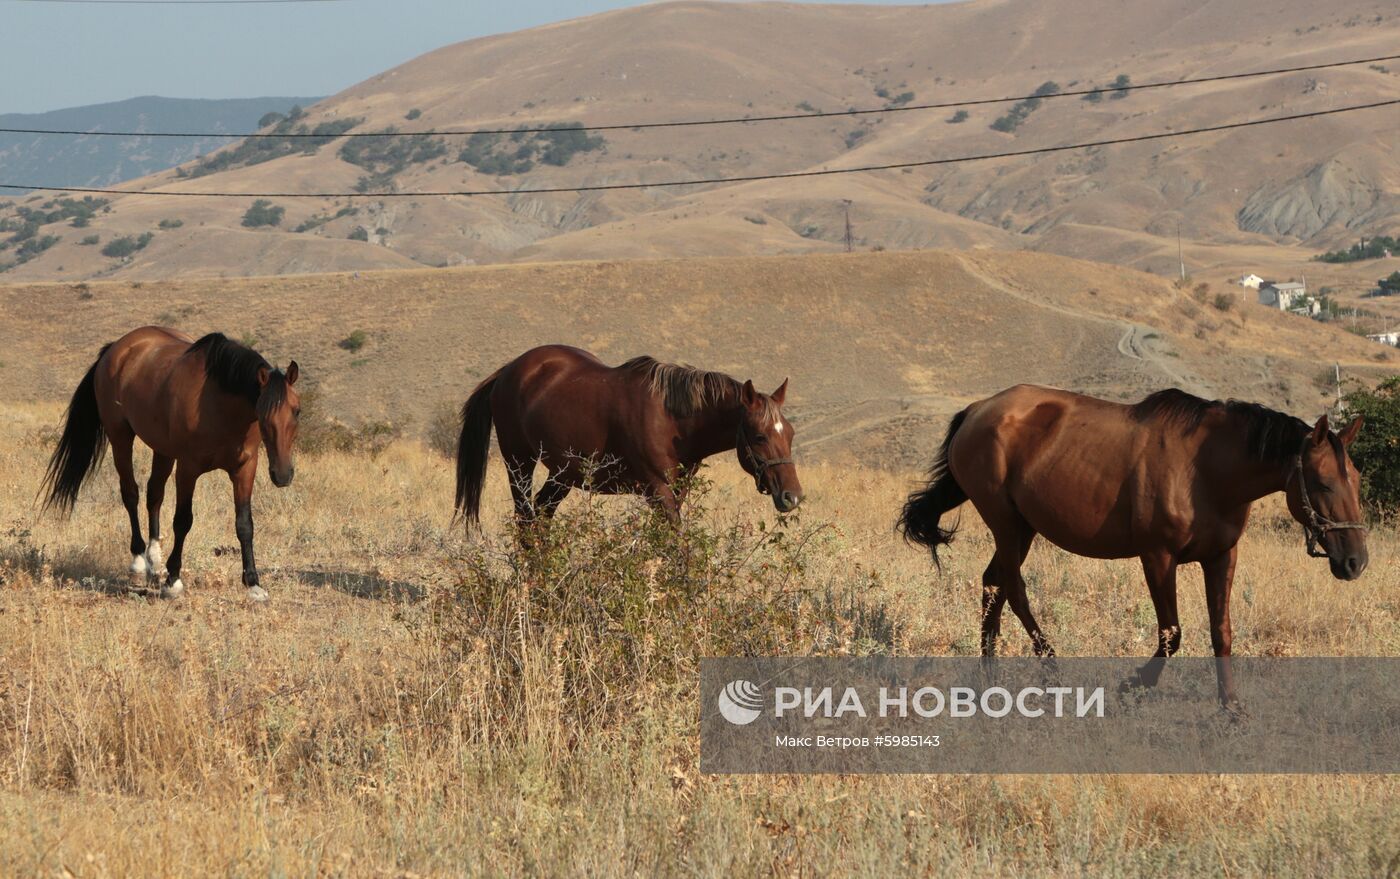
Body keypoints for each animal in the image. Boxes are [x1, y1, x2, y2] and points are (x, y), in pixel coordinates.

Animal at [42, 326, 301, 601]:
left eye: (297, 411)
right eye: (262, 413)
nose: (282, 475)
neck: (221, 404)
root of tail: (115, 349)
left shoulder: (244, 469)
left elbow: (244, 524)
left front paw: (253, 583)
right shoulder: (188, 469)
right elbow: (183, 521)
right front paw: (173, 580)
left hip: (163, 450)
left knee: (154, 494)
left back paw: (155, 560)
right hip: (120, 437)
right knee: (131, 493)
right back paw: (139, 561)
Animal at [453, 342, 806, 526]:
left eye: (789, 434)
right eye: (759, 436)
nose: (793, 496)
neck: (672, 418)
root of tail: (507, 372)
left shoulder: (676, 492)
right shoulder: (658, 492)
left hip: (562, 475)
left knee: (541, 517)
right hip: (519, 465)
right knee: (526, 520)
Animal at [896, 386, 1366, 708]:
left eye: (1357, 480)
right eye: (1323, 483)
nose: (1355, 561)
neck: (1206, 470)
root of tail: (976, 411)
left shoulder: (1221, 556)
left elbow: (1222, 633)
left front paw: (1231, 708)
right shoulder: (1158, 558)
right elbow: (1171, 635)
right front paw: (1131, 686)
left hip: (1022, 528)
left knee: (992, 585)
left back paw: (989, 679)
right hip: (1007, 525)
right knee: (1014, 589)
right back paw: (1049, 665)